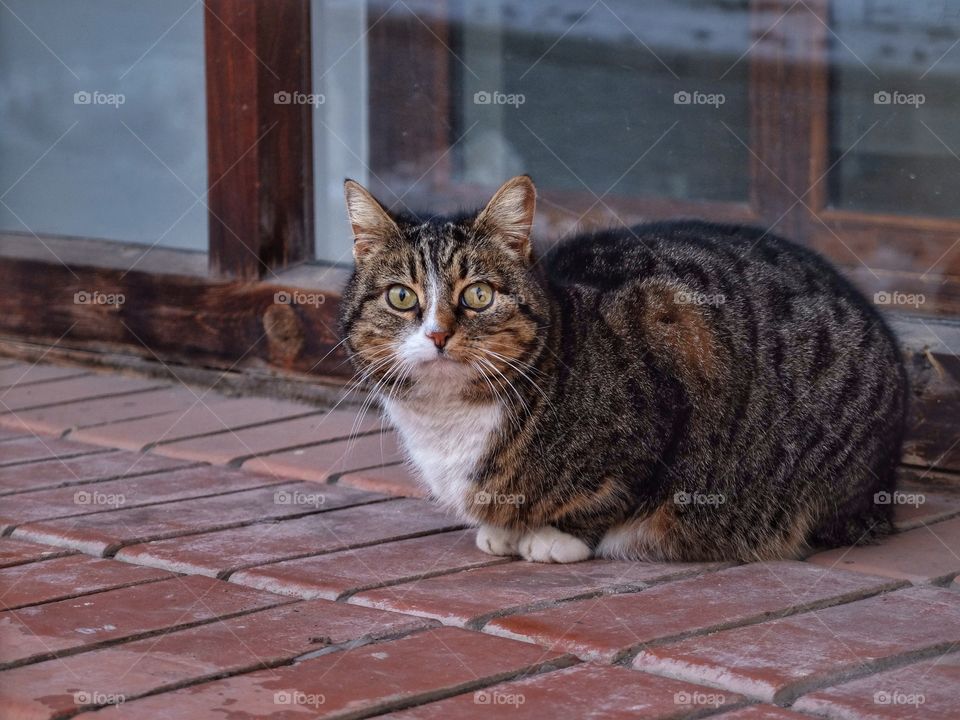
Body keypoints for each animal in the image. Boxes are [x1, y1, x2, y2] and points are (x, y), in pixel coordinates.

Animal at [338, 174, 908, 564]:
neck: (449, 420)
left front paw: (556, 537)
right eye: (401, 297)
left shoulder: (670, 348)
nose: (437, 334)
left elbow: (613, 491)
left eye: (478, 295)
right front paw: (506, 528)